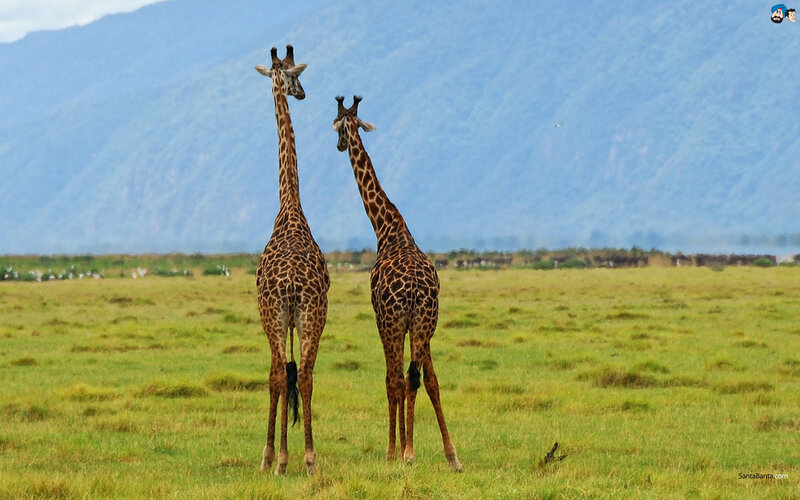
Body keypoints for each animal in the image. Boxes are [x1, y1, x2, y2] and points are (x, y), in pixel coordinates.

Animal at [332, 96, 463, 472]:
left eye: (337, 124)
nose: (339, 145)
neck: (387, 228)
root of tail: (417, 290)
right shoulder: (417, 326)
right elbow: (428, 380)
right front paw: (446, 452)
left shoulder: (383, 319)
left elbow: (392, 380)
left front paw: (393, 450)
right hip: (425, 321)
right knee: (420, 378)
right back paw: (444, 454)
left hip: (394, 322)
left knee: (400, 378)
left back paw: (405, 452)